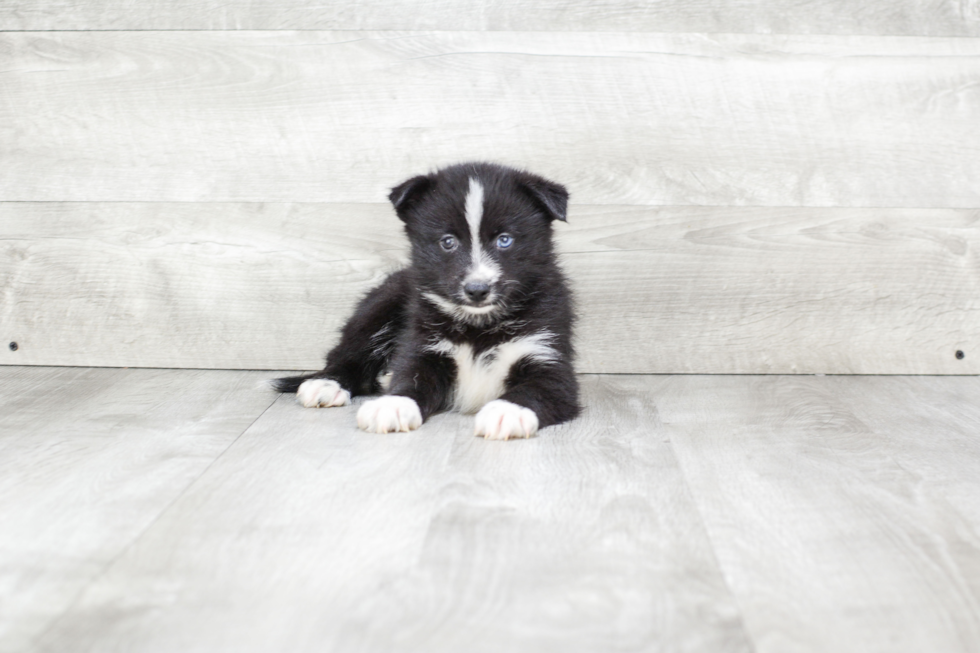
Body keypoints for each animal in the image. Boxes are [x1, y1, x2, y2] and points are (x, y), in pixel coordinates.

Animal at [272, 161, 580, 440]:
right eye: (448, 242)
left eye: (505, 240)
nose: (477, 289)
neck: (479, 325)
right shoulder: (424, 344)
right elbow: (411, 376)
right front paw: (394, 404)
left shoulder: (546, 353)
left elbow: (539, 388)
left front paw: (507, 411)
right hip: (381, 303)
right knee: (347, 352)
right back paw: (326, 383)